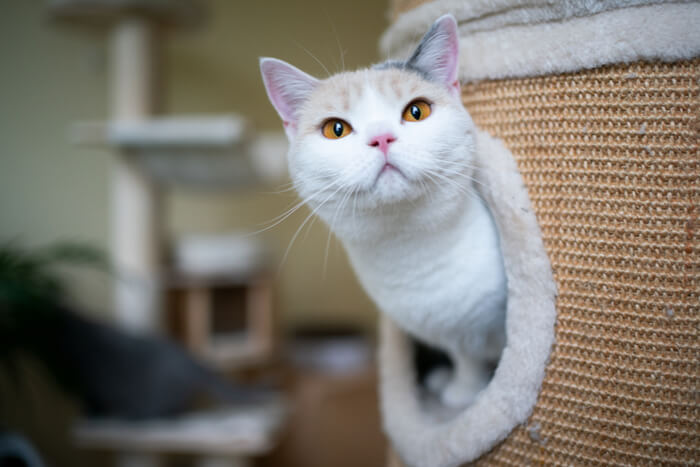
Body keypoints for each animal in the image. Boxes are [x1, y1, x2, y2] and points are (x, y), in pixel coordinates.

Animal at [260, 15, 506, 410]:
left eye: (417, 111)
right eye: (336, 128)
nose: (382, 138)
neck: (412, 253)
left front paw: (471, 397)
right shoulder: (453, 337)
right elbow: (464, 357)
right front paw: (464, 393)